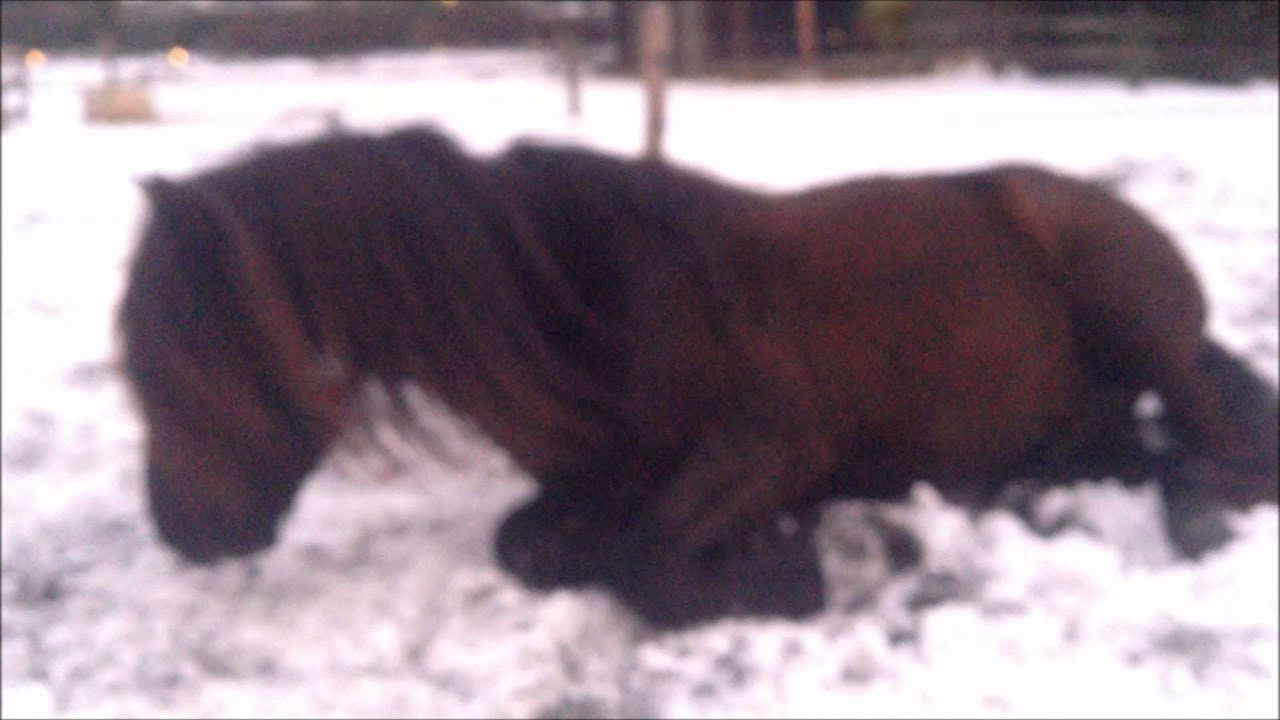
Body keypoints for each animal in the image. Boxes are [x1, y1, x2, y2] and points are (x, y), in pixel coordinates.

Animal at [118, 126, 1278, 627]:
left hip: (1134, 315)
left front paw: (785, 570)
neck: (583, 306)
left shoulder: (770, 446)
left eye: (182, 366)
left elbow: (649, 560)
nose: (183, 535)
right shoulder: (585, 477)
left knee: (1212, 446)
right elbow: (528, 547)